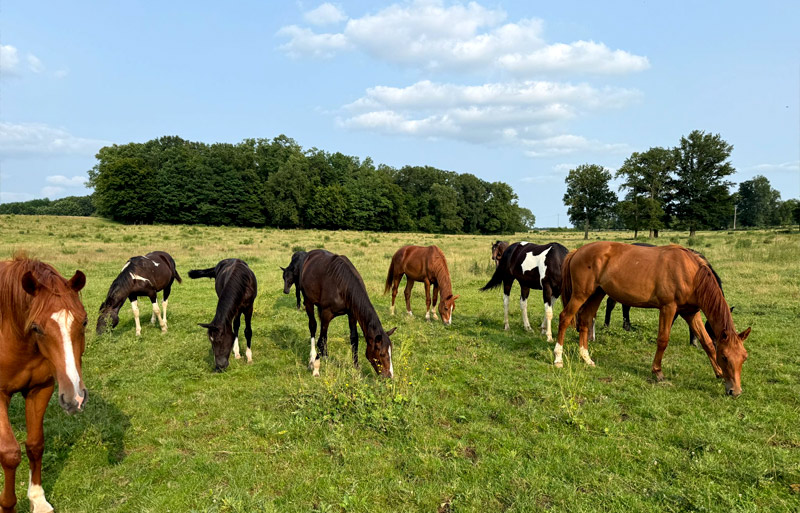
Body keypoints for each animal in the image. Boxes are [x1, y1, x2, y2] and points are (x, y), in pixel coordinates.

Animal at [0, 255, 88, 513]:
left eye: (84, 322)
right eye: (36, 327)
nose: (75, 398)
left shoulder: (40, 389)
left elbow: (35, 444)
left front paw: (37, 499)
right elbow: (10, 453)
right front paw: (7, 505)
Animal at [556, 242, 750, 396]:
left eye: (744, 357)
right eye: (724, 357)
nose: (735, 391)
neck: (691, 274)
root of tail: (578, 250)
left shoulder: (690, 313)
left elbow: (707, 342)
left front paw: (718, 373)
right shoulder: (668, 308)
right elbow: (663, 340)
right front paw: (657, 372)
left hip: (597, 293)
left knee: (585, 320)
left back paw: (586, 358)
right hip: (581, 294)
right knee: (564, 318)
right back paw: (558, 359)